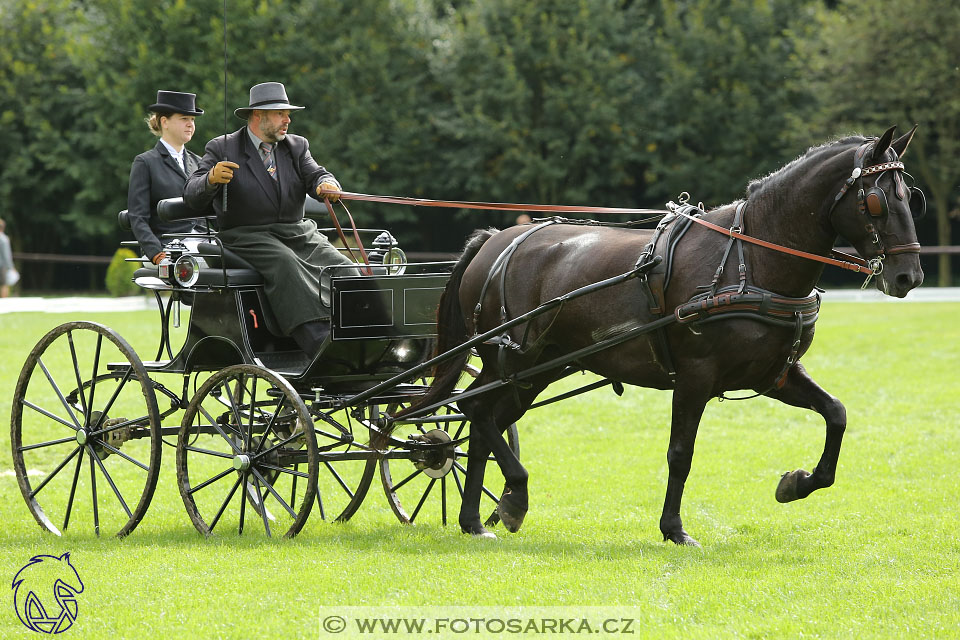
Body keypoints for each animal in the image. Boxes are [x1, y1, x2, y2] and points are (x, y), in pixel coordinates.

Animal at [404, 127, 924, 548]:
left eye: (911, 196)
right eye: (877, 200)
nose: (908, 276)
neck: (749, 260)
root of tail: (494, 239)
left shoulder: (773, 375)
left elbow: (836, 414)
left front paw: (797, 482)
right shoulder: (695, 376)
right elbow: (681, 453)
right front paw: (674, 528)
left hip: (534, 370)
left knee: (482, 421)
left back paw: (475, 519)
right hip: (510, 360)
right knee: (476, 410)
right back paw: (512, 498)